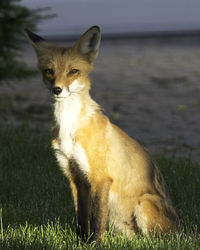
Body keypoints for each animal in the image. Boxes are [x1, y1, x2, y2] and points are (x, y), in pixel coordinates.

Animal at [25, 26, 178, 241]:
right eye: (49, 71)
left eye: (73, 71)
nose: (57, 90)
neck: (68, 128)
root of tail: (181, 229)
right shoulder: (74, 176)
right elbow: (81, 218)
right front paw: (81, 241)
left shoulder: (100, 178)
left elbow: (97, 220)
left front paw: (95, 243)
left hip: (144, 204)